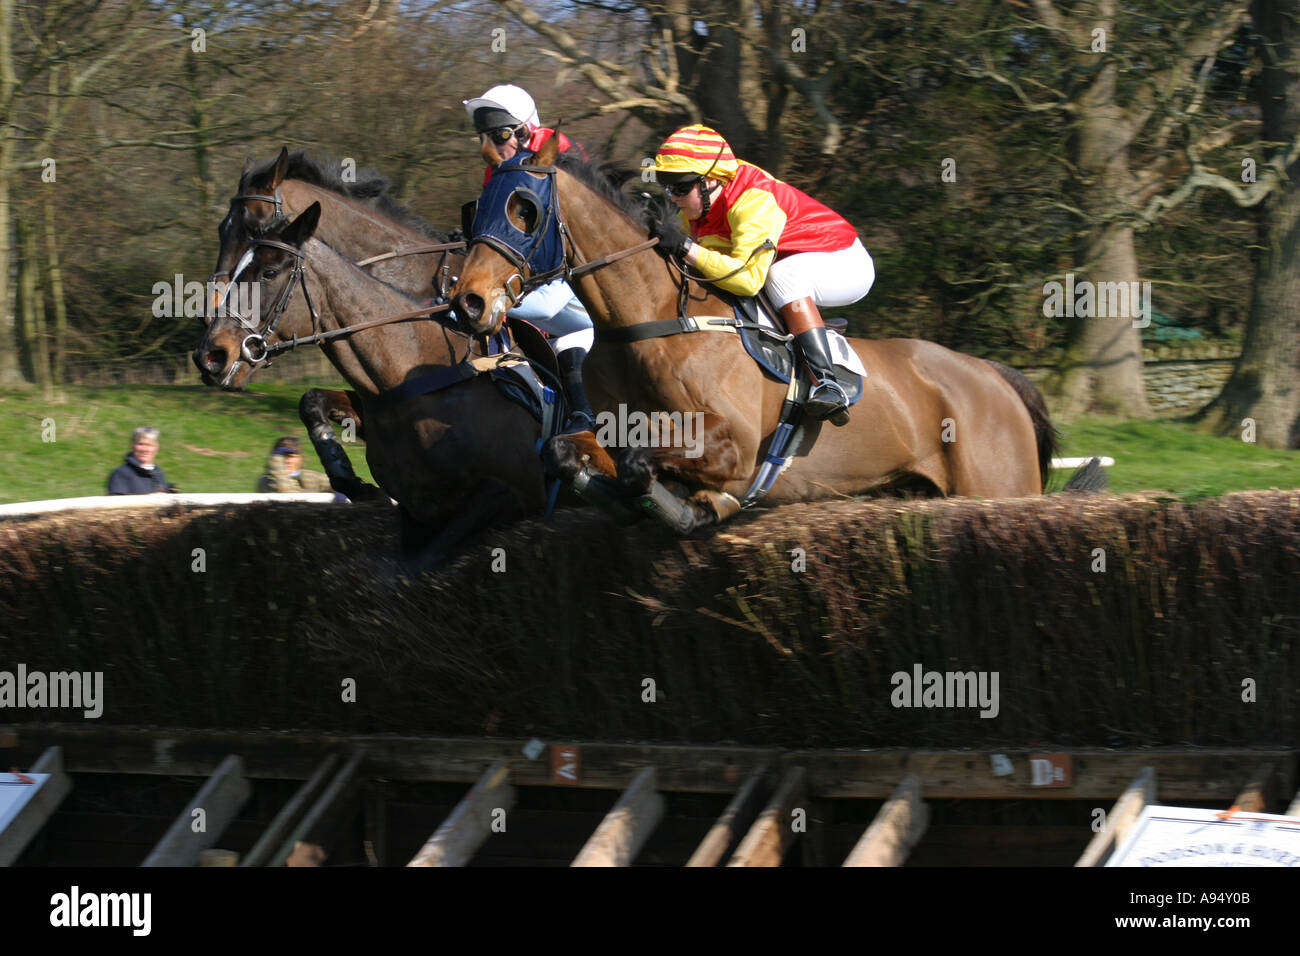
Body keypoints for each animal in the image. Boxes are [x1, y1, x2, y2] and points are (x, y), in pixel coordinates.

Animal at [452, 137, 1060, 535]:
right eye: (476, 209)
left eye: (525, 210)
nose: (469, 301)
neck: (648, 319)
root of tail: (992, 376)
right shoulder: (607, 427)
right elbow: (565, 451)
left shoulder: (735, 445)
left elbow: (642, 464)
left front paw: (691, 504)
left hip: (997, 484)